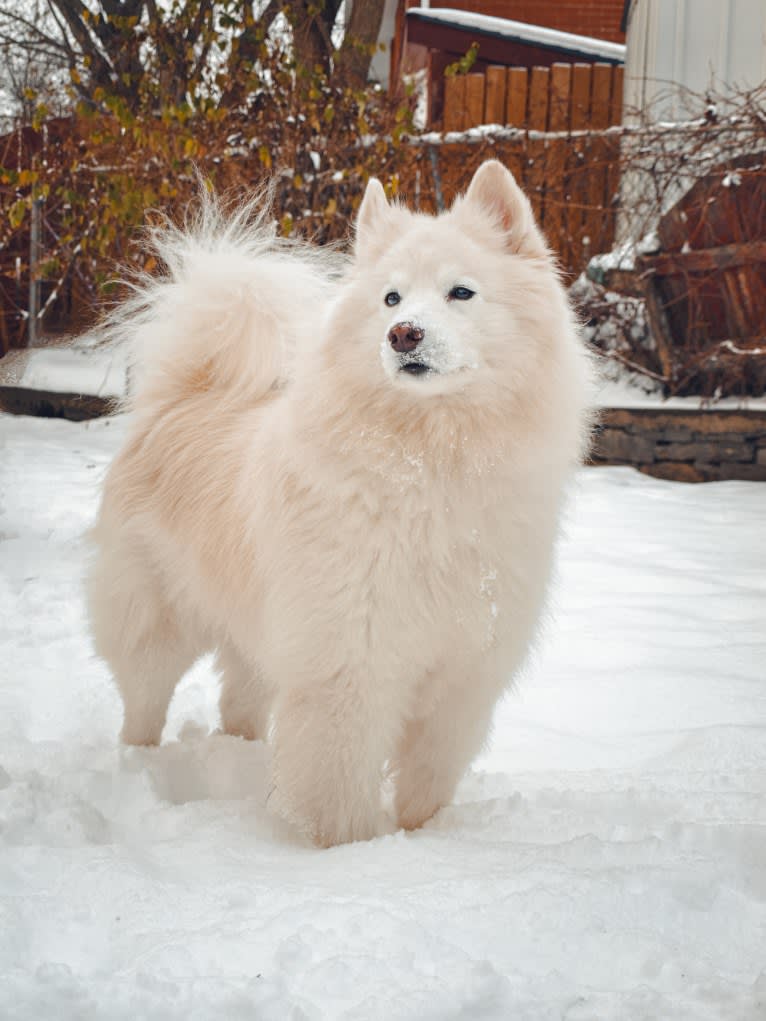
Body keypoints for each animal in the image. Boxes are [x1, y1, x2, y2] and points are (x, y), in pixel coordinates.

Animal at [88, 159, 592, 845]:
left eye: (461, 293)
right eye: (391, 299)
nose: (403, 334)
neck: (431, 467)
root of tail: (184, 395)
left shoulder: (461, 675)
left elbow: (427, 783)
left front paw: (423, 840)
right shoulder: (348, 669)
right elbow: (341, 789)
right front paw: (351, 854)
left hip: (258, 636)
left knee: (238, 705)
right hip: (156, 621)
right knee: (142, 702)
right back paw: (139, 769)